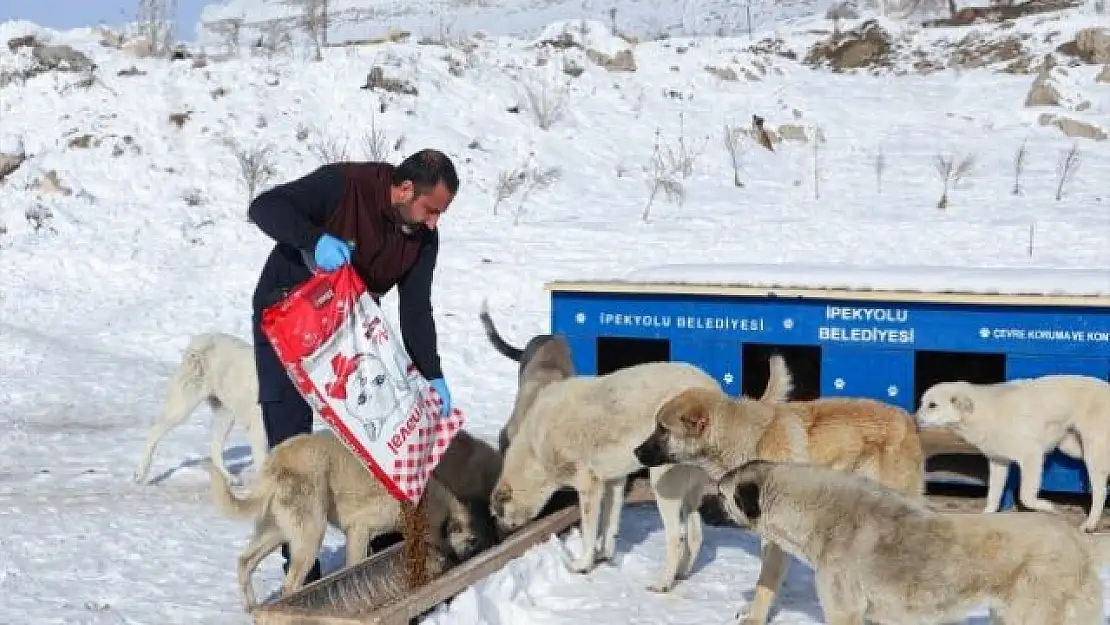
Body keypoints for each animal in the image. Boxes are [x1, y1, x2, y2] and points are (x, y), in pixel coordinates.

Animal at [204, 430, 490, 612]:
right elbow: (355, 566)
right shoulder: (359, 531)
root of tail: (275, 460)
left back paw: (251, 606)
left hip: (277, 531)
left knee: (244, 562)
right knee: (290, 584)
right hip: (311, 533)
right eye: (471, 541)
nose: (463, 561)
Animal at [634, 355, 927, 621]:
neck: (747, 439)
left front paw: (756, 617)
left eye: (662, 429)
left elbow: (766, 580)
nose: (635, 452)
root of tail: (908, 421)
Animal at [914, 377, 1110, 532]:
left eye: (932, 405)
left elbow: (1025, 496)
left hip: (1092, 454)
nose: (914, 420)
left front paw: (1048, 507)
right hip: (1072, 448)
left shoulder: (1032, 455)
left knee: (1100, 491)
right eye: (922, 403)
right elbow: (993, 496)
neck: (984, 412)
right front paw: (987, 515)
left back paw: (1090, 524)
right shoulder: (998, 462)